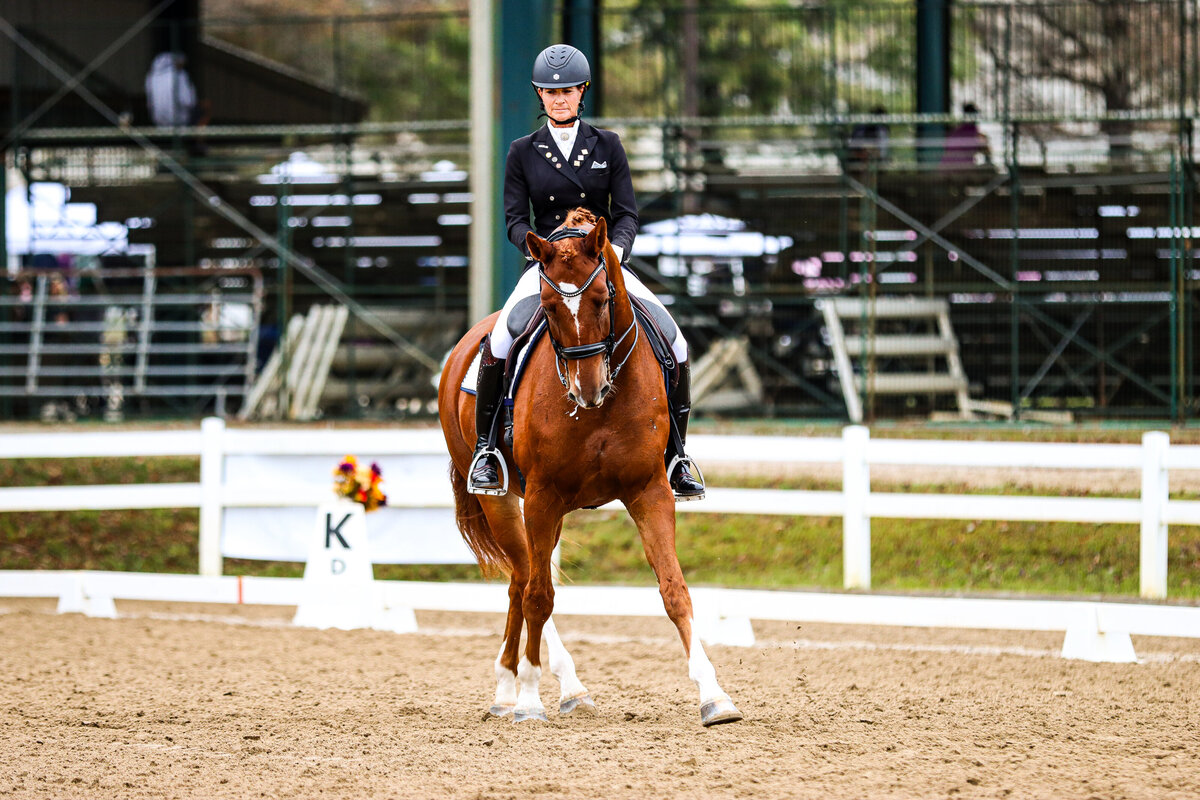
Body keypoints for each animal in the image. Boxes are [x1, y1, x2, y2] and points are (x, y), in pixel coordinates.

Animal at [438, 208, 742, 727]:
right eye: (548, 307)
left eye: (602, 298)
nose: (588, 390)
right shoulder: (543, 497)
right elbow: (541, 597)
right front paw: (530, 701)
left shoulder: (649, 490)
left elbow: (674, 590)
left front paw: (714, 696)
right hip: (504, 500)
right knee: (527, 580)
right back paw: (531, 689)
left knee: (521, 580)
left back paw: (523, 689)